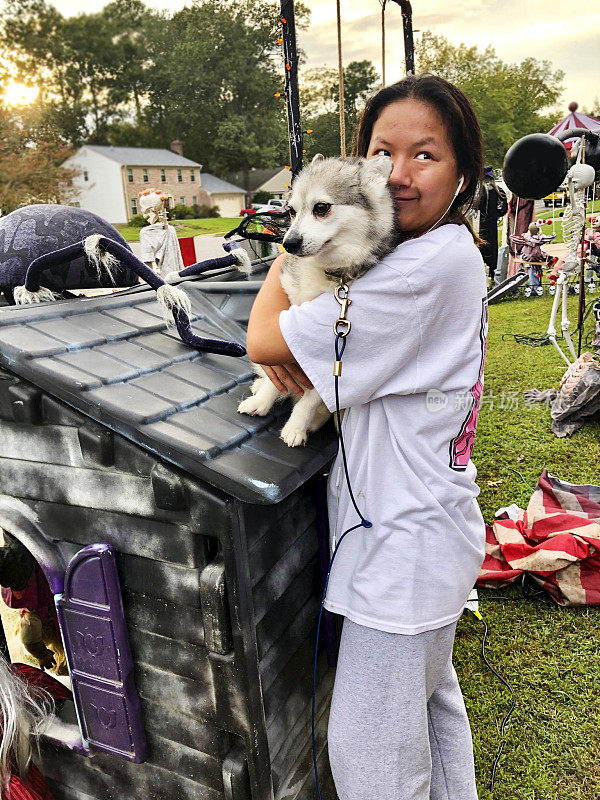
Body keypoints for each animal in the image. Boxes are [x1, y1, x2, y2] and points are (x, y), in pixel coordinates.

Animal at [238, 153, 398, 446]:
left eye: (321, 208)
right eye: (291, 211)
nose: (288, 244)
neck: (331, 274)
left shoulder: (330, 361)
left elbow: (312, 397)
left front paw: (296, 426)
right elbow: (275, 379)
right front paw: (261, 402)